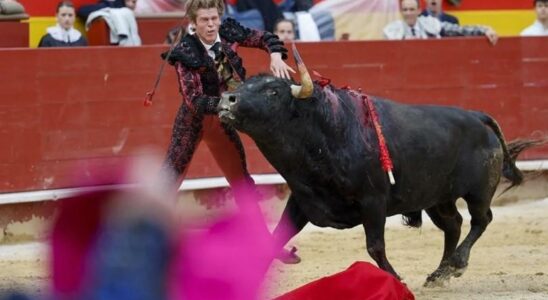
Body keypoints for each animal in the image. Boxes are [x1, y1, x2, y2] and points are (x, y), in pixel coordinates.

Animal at [216, 54, 536, 286]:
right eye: (241, 87)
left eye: (272, 91)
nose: (226, 100)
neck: (324, 130)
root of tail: (476, 116)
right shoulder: (302, 201)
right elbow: (273, 241)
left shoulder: (373, 201)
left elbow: (375, 246)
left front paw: (395, 280)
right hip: (436, 197)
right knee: (454, 224)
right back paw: (439, 274)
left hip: (478, 191)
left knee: (481, 220)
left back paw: (456, 265)